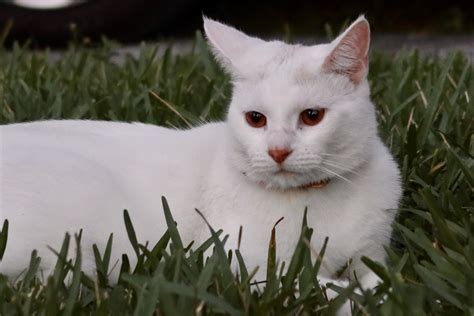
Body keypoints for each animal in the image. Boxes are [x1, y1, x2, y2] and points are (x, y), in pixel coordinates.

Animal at [0, 16, 400, 292]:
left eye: (312, 116)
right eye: (256, 119)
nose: (277, 151)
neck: (312, 201)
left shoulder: (371, 254)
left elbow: (382, 279)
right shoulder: (242, 263)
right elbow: (322, 286)